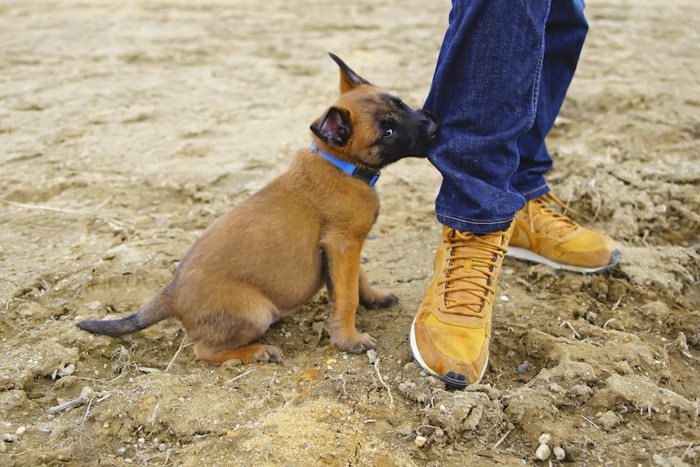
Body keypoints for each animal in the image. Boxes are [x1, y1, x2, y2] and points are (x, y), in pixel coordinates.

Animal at [78, 53, 438, 364]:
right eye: (387, 131)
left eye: (401, 103)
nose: (433, 124)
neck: (339, 164)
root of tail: (171, 294)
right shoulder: (342, 244)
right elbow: (346, 296)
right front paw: (350, 338)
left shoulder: (345, 247)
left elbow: (356, 278)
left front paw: (373, 296)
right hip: (255, 311)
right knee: (203, 351)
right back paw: (256, 352)